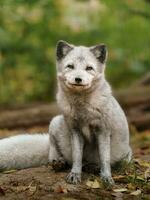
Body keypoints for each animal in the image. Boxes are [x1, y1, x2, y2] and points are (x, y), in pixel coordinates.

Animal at [0, 40, 131, 184]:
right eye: (70, 66)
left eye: (89, 68)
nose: (78, 79)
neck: (82, 109)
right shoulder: (75, 130)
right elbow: (77, 157)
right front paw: (75, 174)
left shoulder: (103, 130)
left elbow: (104, 159)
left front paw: (106, 177)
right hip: (55, 122)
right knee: (54, 151)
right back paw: (59, 162)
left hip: (125, 153)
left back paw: (94, 167)